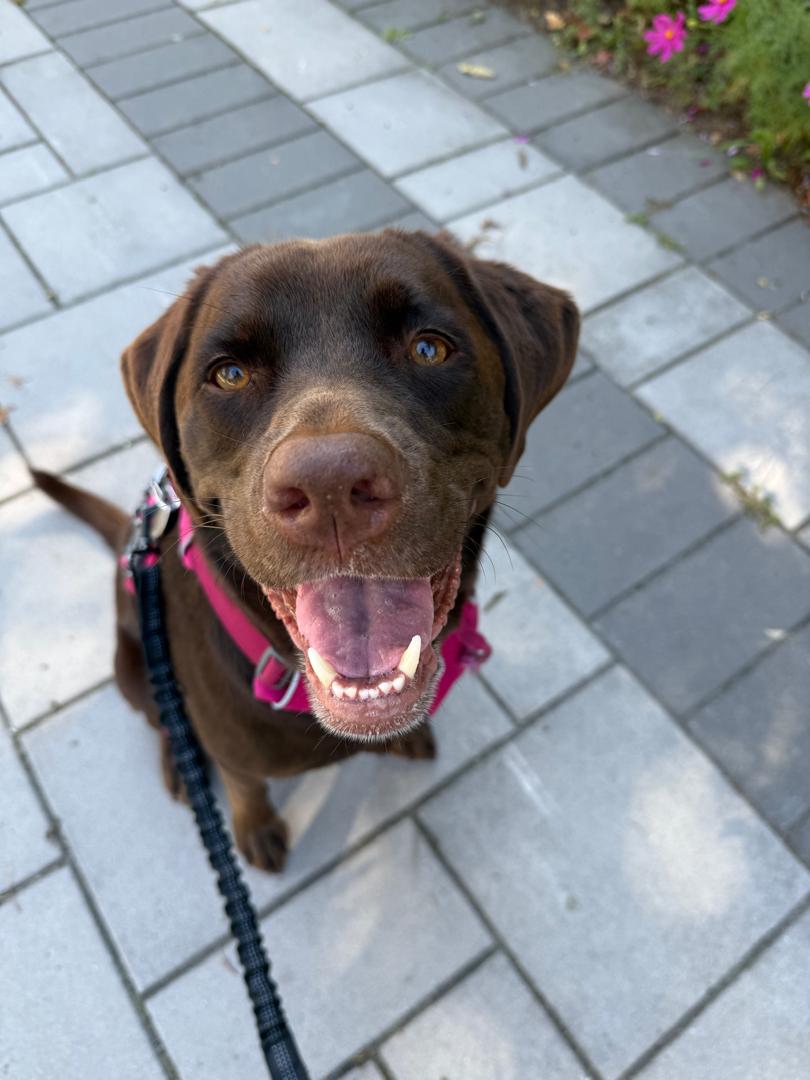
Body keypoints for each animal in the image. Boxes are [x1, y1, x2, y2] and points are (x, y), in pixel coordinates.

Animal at [34, 230, 578, 872]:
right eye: (230, 374)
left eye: (429, 348)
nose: (330, 487)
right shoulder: (234, 751)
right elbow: (242, 782)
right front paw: (254, 827)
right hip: (131, 663)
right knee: (162, 717)